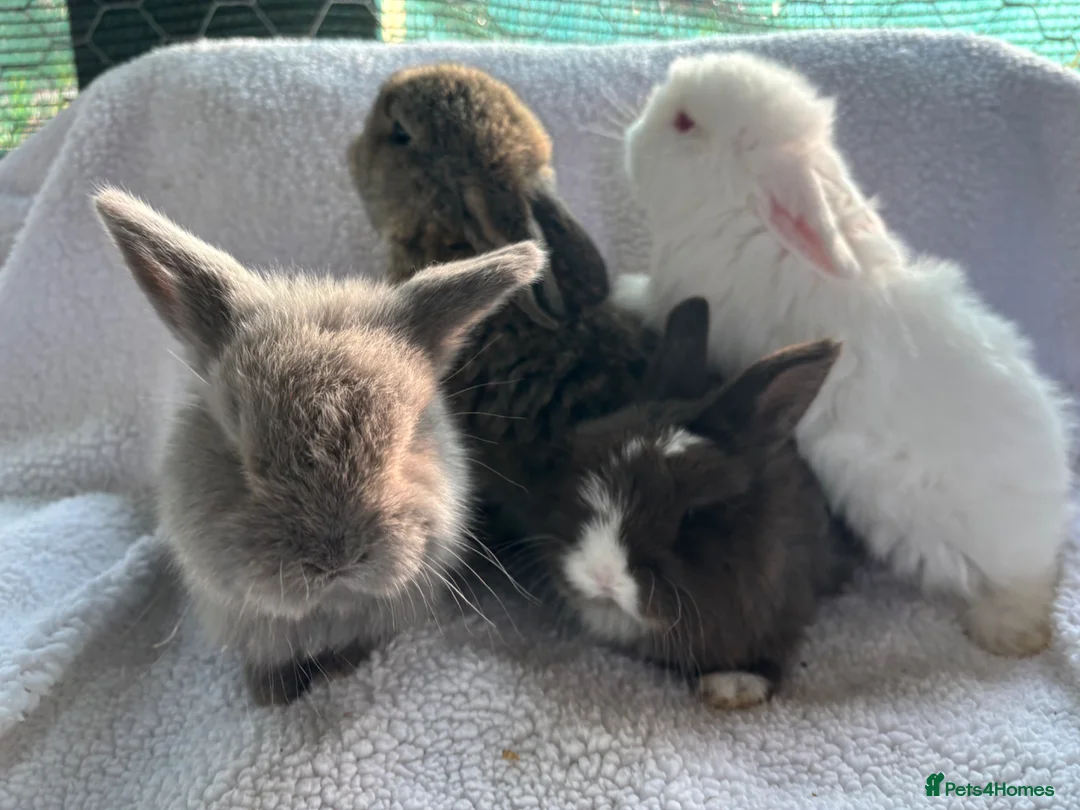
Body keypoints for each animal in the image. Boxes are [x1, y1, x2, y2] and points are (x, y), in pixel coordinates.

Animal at [93, 187, 547, 705]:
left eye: (408, 440)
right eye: (240, 454)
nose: (336, 560)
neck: (326, 611)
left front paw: (339, 675)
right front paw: (270, 698)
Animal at [614, 50, 1073, 658]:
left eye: (685, 122)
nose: (632, 136)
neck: (741, 211)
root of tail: (1047, 519)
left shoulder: (675, 294)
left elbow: (645, 298)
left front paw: (618, 289)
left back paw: (1005, 632)